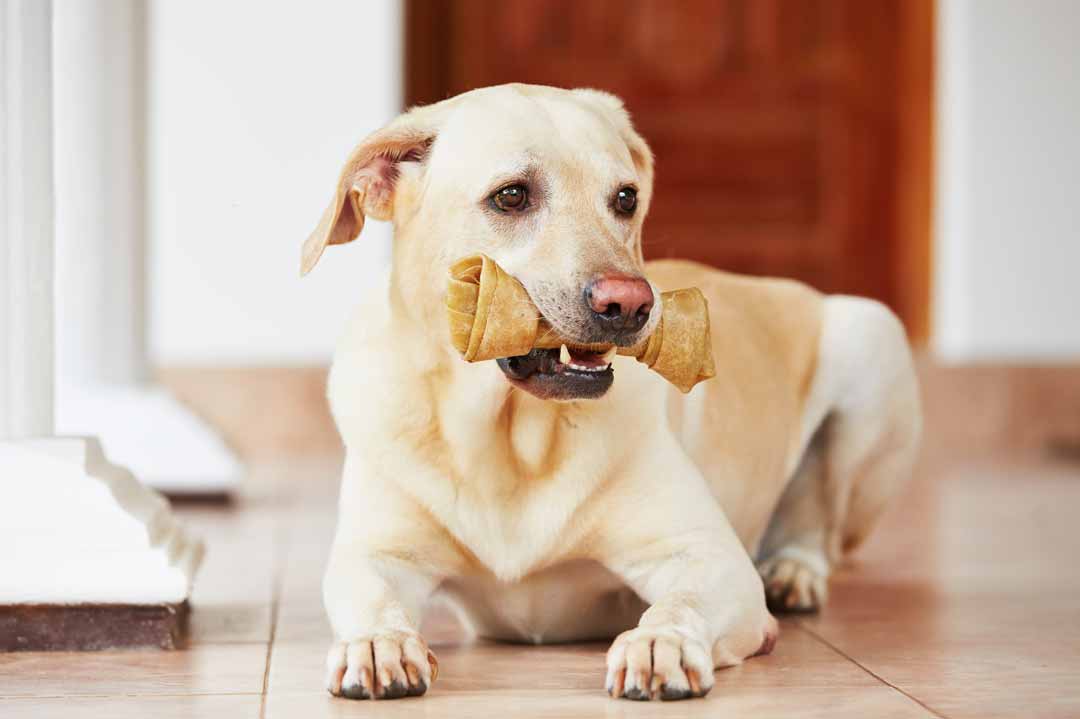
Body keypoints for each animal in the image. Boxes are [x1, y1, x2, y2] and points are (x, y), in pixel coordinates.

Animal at [302, 84, 920, 699]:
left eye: (625, 198)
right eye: (511, 196)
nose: (630, 304)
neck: (509, 441)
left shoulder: (711, 556)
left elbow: (680, 603)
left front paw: (661, 643)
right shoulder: (374, 554)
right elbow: (373, 599)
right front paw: (377, 643)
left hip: (871, 337)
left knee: (819, 525)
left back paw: (793, 572)